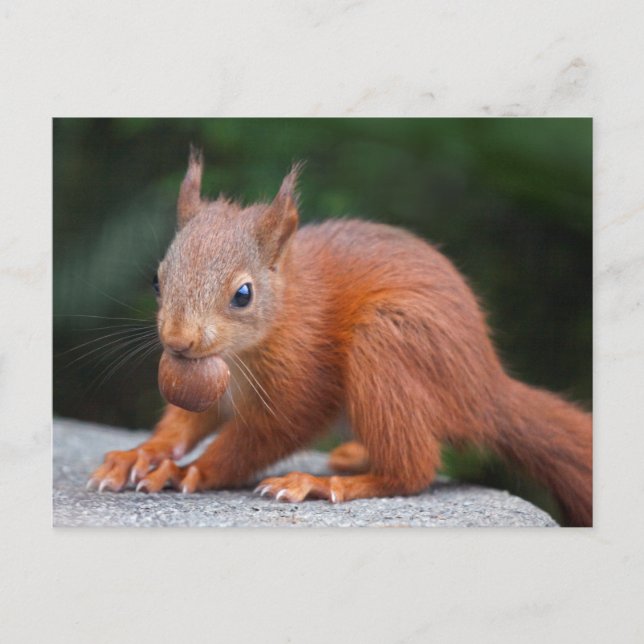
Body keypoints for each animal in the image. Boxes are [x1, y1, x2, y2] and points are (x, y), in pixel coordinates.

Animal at [88, 148, 593, 527]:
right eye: (157, 280)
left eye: (243, 295)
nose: (179, 341)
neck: (242, 353)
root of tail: (486, 389)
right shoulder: (209, 383)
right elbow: (184, 422)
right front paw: (140, 454)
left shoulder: (302, 375)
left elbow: (268, 434)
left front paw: (187, 470)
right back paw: (351, 457)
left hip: (388, 341)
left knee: (412, 468)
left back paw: (325, 483)